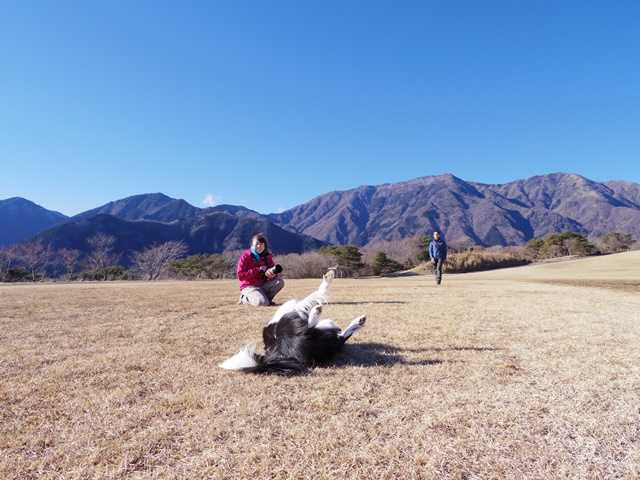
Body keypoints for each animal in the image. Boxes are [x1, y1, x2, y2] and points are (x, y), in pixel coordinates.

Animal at [220, 270, 368, 376]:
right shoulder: (295, 308)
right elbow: (312, 296)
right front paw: (328, 279)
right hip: (288, 323)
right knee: (311, 328)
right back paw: (316, 313)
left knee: (339, 336)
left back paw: (358, 321)